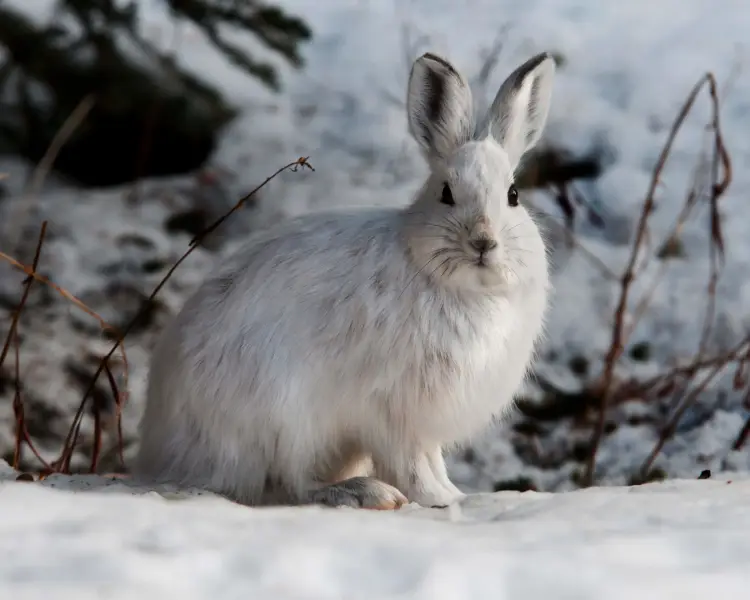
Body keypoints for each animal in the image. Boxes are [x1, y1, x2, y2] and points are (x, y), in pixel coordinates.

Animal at [135, 50, 557, 510]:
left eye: (513, 196)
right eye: (446, 193)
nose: (483, 242)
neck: (463, 288)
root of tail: (165, 455)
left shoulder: (420, 424)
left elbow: (432, 461)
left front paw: (454, 494)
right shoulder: (393, 411)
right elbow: (411, 463)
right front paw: (437, 500)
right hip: (284, 419)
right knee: (292, 484)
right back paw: (363, 492)